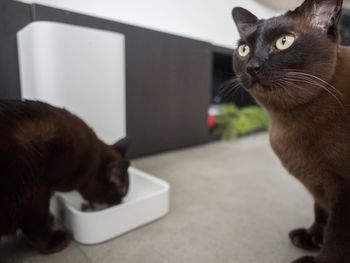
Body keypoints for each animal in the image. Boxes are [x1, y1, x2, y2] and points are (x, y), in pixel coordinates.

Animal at [0, 100, 130, 255]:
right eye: (123, 192)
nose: (121, 202)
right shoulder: (37, 192)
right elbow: (38, 224)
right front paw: (55, 241)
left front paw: (51, 219)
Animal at [232, 0, 350, 262]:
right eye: (244, 49)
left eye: (284, 42)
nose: (252, 66)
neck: (284, 122)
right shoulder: (319, 185)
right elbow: (321, 212)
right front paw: (311, 238)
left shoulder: (343, 190)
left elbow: (336, 239)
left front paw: (318, 258)